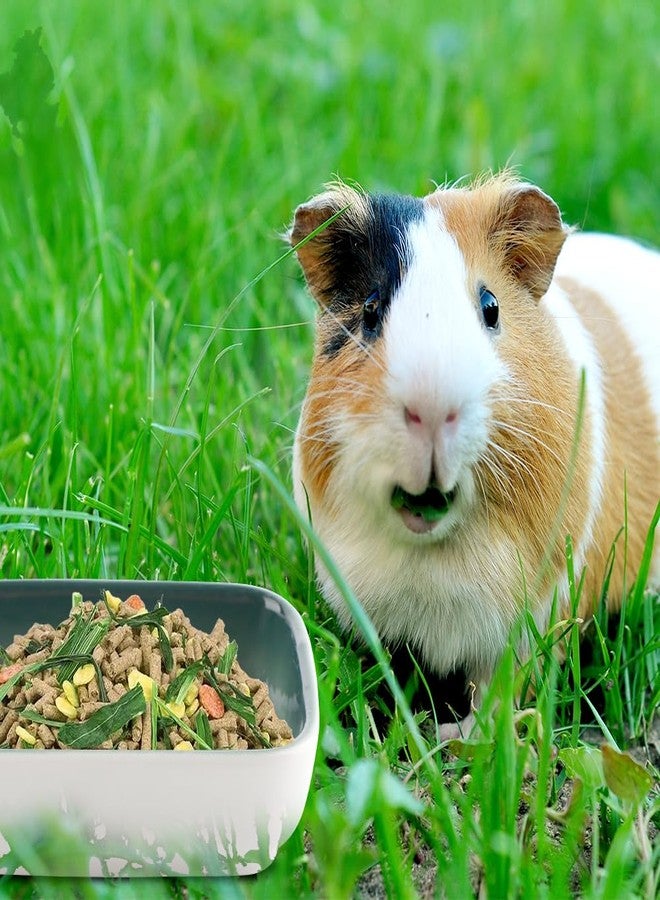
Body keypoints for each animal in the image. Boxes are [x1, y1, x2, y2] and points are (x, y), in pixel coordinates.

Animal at [289, 172, 660, 736]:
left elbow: (501, 690)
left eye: (491, 307)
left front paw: (459, 737)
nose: (431, 407)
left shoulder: (535, 620)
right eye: (371, 310)